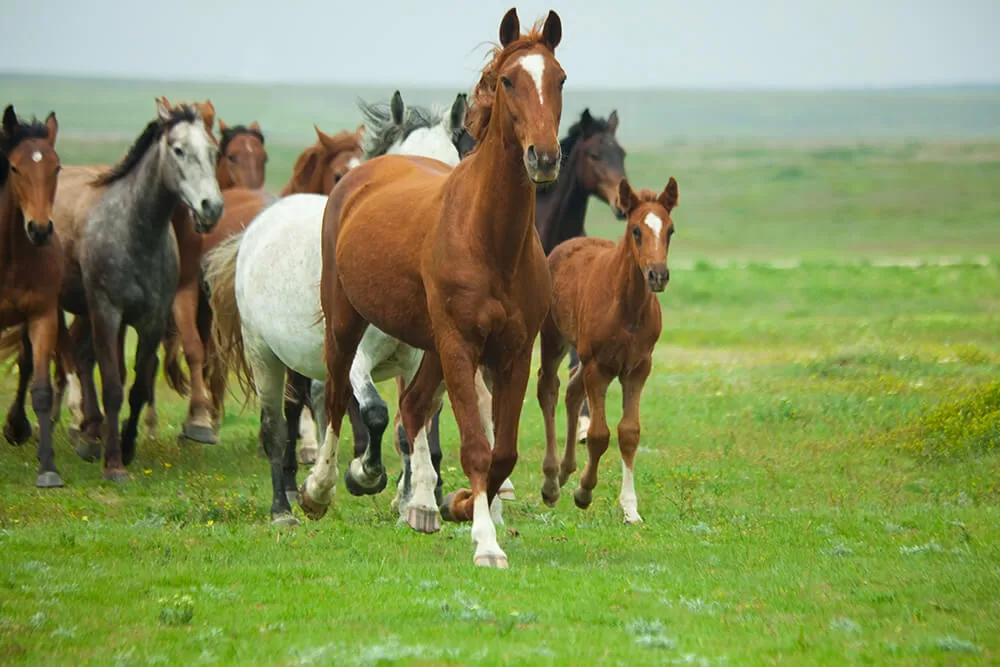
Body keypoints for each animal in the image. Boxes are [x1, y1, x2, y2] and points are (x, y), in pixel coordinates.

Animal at [60, 100, 223, 480]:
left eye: (213, 151)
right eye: (178, 150)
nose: (212, 207)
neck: (135, 232)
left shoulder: (151, 320)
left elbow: (136, 387)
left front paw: (127, 445)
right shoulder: (108, 313)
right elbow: (113, 386)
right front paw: (114, 464)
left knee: (81, 356)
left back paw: (90, 436)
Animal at [208, 91, 512, 528]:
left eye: (451, 167)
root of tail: (259, 224)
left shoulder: (421, 360)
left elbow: (412, 424)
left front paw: (414, 503)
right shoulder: (357, 357)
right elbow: (376, 413)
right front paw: (363, 476)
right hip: (265, 355)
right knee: (277, 426)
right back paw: (284, 506)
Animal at [300, 7, 568, 568]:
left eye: (559, 79)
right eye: (508, 80)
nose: (545, 158)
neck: (489, 239)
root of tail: (362, 175)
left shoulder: (512, 352)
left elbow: (502, 451)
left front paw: (462, 506)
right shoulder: (460, 344)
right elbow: (476, 447)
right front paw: (485, 542)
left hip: (428, 347)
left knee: (413, 405)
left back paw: (420, 505)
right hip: (347, 323)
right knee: (334, 397)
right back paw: (319, 490)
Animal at [536, 177, 676, 528]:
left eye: (670, 230)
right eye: (636, 230)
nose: (658, 275)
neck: (627, 308)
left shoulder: (638, 368)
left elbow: (629, 432)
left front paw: (630, 508)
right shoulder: (599, 367)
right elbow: (600, 434)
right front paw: (584, 491)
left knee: (572, 390)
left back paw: (565, 470)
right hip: (554, 338)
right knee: (549, 388)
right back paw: (551, 482)